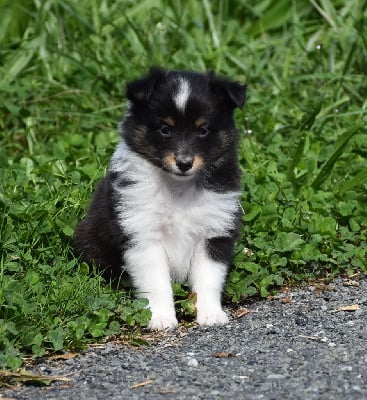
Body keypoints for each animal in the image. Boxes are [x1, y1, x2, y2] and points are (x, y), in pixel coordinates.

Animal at [74, 69, 247, 330]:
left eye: (203, 130)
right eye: (165, 129)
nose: (184, 163)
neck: (178, 187)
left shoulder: (213, 232)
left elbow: (208, 278)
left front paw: (211, 314)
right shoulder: (142, 234)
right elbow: (156, 283)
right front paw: (161, 318)